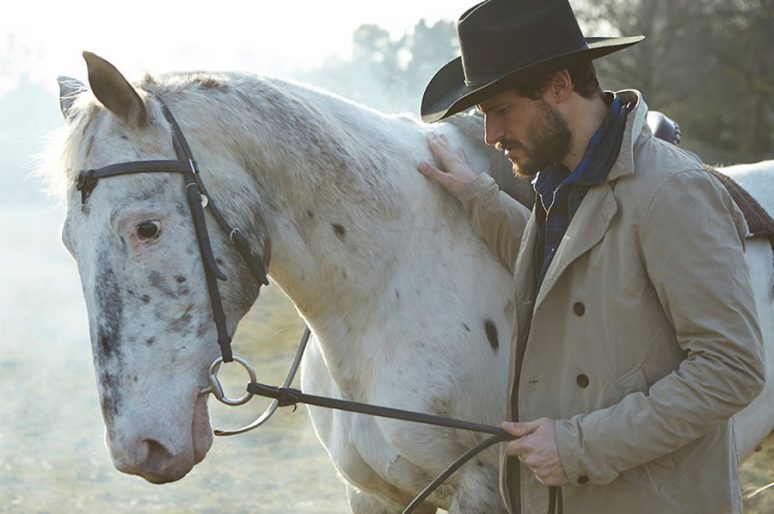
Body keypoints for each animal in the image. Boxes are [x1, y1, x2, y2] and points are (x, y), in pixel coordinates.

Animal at [50, 53, 774, 512]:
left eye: (146, 227)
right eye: (67, 243)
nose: (139, 448)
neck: (388, 295)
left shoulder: (483, 493)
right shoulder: (371, 494)